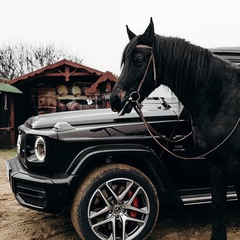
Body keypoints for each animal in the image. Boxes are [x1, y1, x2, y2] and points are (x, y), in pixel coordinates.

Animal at [111, 18, 240, 240]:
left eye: (138, 59)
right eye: (124, 61)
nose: (114, 100)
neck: (223, 99)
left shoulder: (236, 164)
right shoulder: (215, 163)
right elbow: (217, 207)